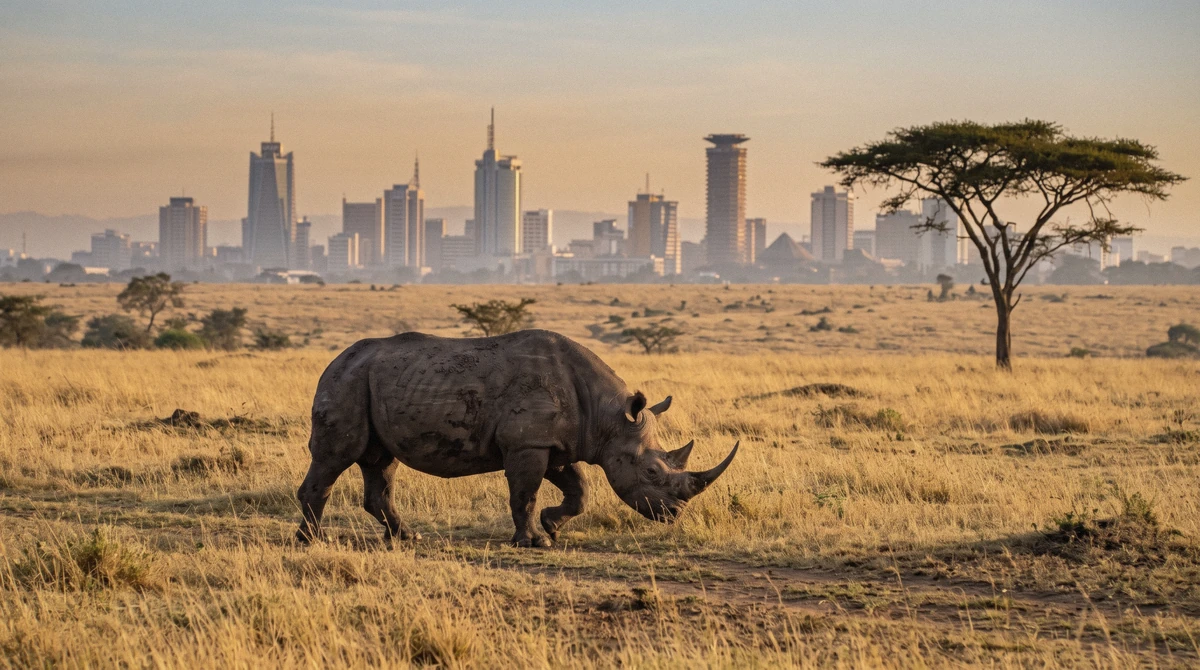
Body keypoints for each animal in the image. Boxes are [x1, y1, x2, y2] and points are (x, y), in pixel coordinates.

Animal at [295, 329, 738, 547]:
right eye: (651, 472)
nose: (675, 514)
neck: (608, 417)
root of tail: (334, 360)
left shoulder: (556, 444)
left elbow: (579, 490)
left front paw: (553, 528)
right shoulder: (527, 443)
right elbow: (525, 493)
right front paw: (534, 542)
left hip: (370, 383)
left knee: (379, 461)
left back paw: (405, 537)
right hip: (346, 382)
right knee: (337, 457)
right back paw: (312, 540)